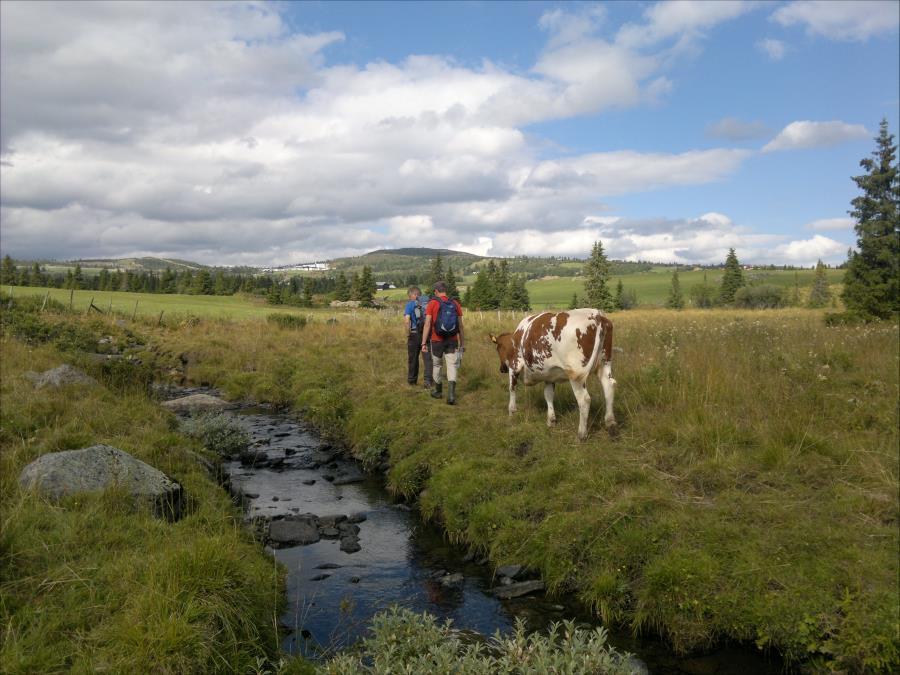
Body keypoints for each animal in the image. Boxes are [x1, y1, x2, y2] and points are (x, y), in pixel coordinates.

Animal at [488, 308, 616, 440]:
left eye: (498, 348)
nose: (502, 369)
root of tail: (597, 315)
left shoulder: (514, 366)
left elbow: (512, 388)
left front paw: (512, 412)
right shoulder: (549, 376)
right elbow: (548, 395)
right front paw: (551, 420)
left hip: (576, 374)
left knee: (584, 399)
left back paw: (581, 434)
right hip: (605, 363)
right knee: (609, 387)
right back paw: (610, 424)